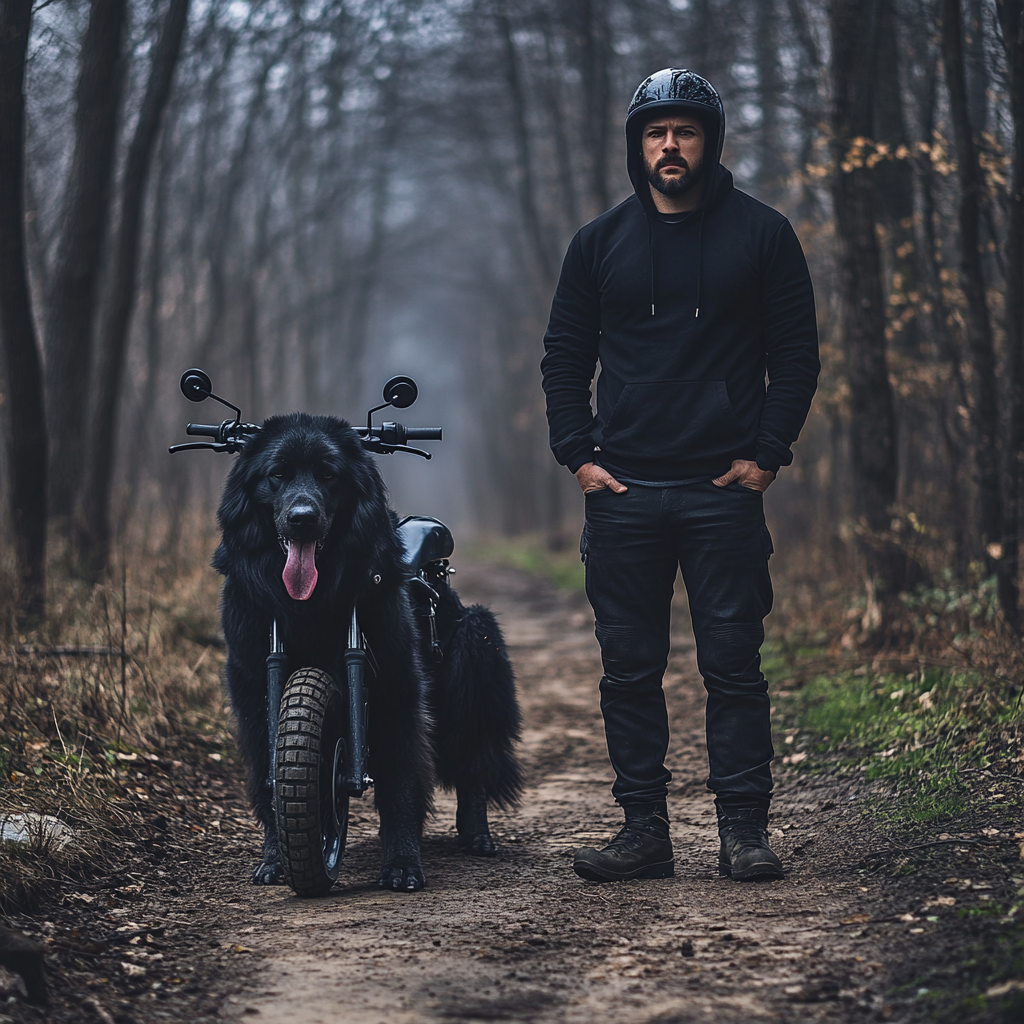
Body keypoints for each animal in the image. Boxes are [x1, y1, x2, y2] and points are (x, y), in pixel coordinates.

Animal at [212, 411, 524, 892]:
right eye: (277, 475)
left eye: (328, 475)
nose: (302, 519)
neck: (312, 604)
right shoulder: (253, 686)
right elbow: (270, 776)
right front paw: (276, 859)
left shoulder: (397, 688)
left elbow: (399, 782)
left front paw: (402, 864)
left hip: (474, 652)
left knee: (474, 760)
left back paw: (477, 835)